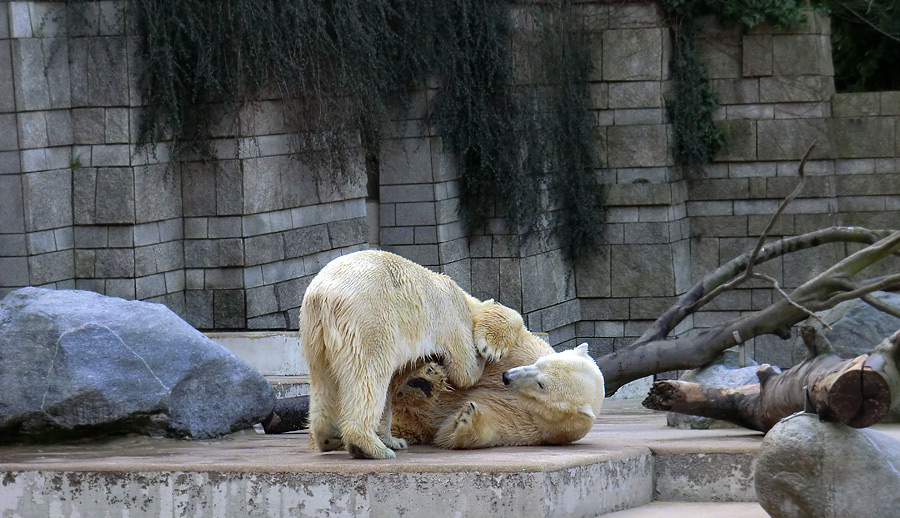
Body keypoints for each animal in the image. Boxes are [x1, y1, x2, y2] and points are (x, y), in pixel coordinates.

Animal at [298, 251, 524, 460]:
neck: (463, 298)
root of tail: (325, 294)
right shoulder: (452, 317)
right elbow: (464, 370)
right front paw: (486, 352)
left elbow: (393, 385)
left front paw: (395, 440)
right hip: (370, 320)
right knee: (369, 376)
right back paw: (369, 447)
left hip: (313, 331)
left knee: (323, 381)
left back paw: (328, 437)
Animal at [388, 340, 604, 448]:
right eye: (539, 362)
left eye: (541, 385)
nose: (507, 377)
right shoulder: (522, 357)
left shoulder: (533, 423)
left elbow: (489, 427)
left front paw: (467, 417)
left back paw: (420, 384)